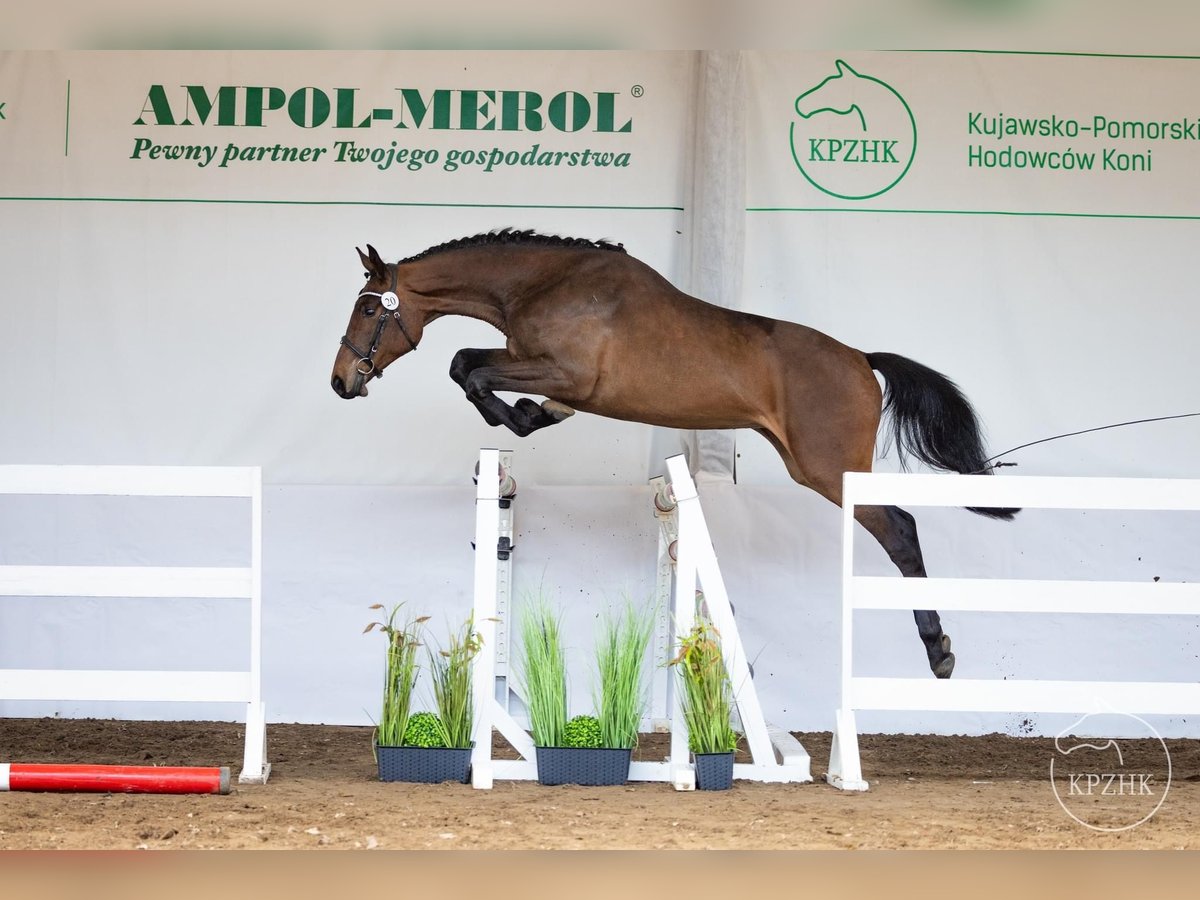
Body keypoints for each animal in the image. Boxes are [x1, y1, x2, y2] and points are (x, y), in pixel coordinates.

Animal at [333, 229, 1017, 681]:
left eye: (369, 307)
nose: (342, 382)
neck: (546, 284)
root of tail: (860, 359)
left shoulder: (567, 372)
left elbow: (470, 371)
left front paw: (518, 416)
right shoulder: (543, 368)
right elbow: (472, 368)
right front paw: (531, 416)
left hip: (826, 468)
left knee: (899, 528)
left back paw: (939, 649)